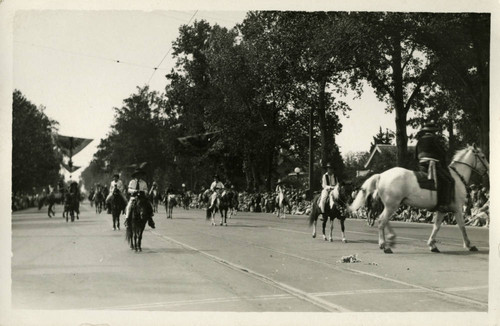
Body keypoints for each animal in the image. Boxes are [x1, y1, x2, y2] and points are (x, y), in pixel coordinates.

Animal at [350, 146, 486, 255]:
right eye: (483, 156)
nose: (486, 171)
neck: (457, 177)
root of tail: (381, 175)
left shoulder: (442, 210)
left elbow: (436, 226)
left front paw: (432, 245)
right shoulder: (457, 208)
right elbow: (462, 226)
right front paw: (469, 245)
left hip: (390, 205)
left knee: (382, 219)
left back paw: (390, 239)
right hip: (392, 205)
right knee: (382, 220)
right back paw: (385, 246)